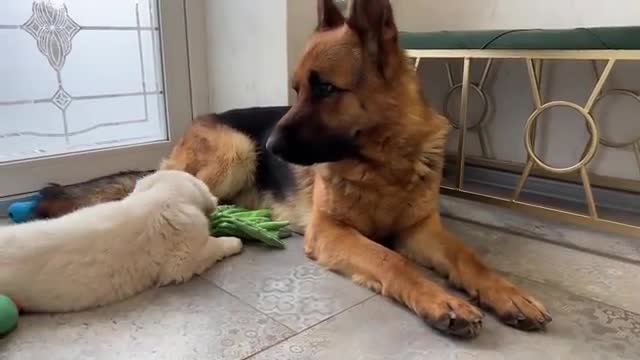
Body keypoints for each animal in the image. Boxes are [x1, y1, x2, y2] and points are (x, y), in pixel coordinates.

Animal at [32, 0, 552, 338]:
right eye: (297, 88)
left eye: (324, 88)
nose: (272, 147)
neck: (383, 162)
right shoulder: (330, 230)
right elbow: (391, 260)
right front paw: (440, 299)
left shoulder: (421, 228)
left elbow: (468, 257)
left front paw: (508, 293)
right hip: (232, 153)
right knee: (152, 194)